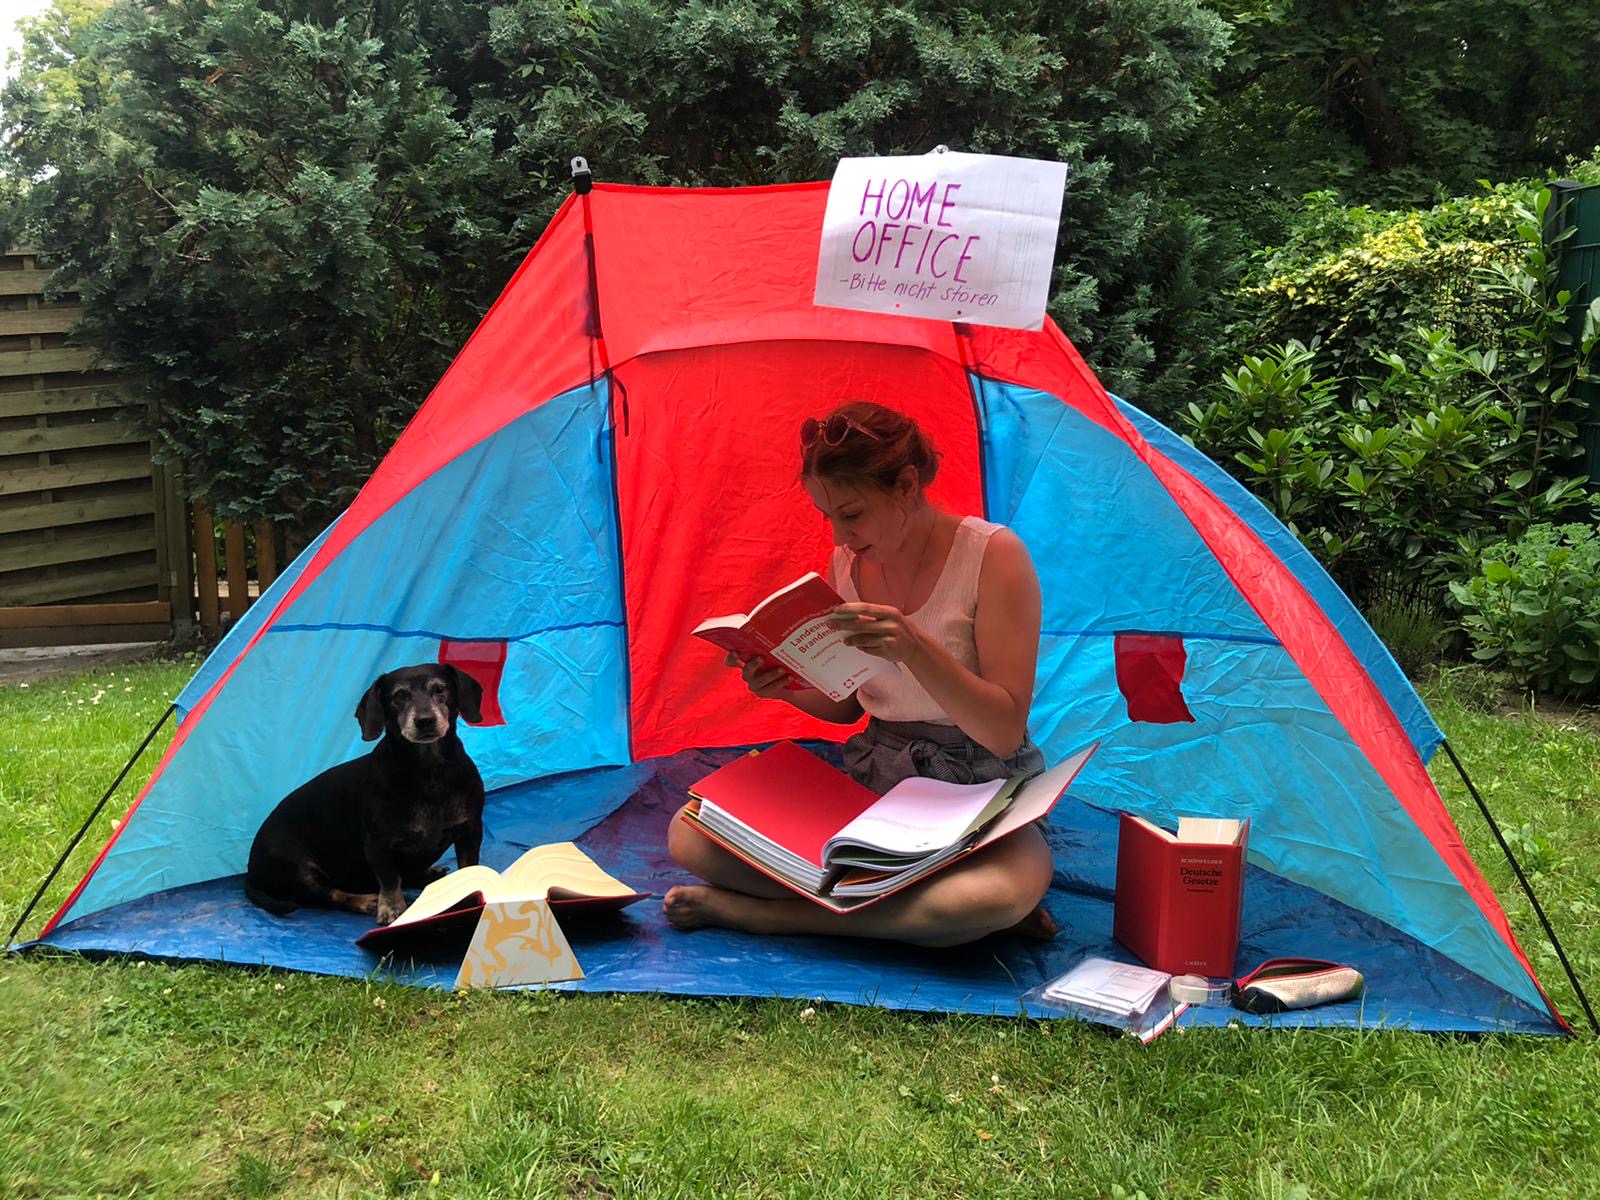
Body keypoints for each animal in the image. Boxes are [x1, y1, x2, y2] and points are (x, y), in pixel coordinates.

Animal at [245, 663, 486, 925]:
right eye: (400, 695)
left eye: (440, 689)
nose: (425, 721)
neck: (429, 773)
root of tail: (250, 872)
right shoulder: (377, 844)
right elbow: (390, 879)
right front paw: (392, 909)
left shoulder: (470, 829)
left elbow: (468, 867)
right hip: (300, 869)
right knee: (332, 896)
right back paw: (365, 901)